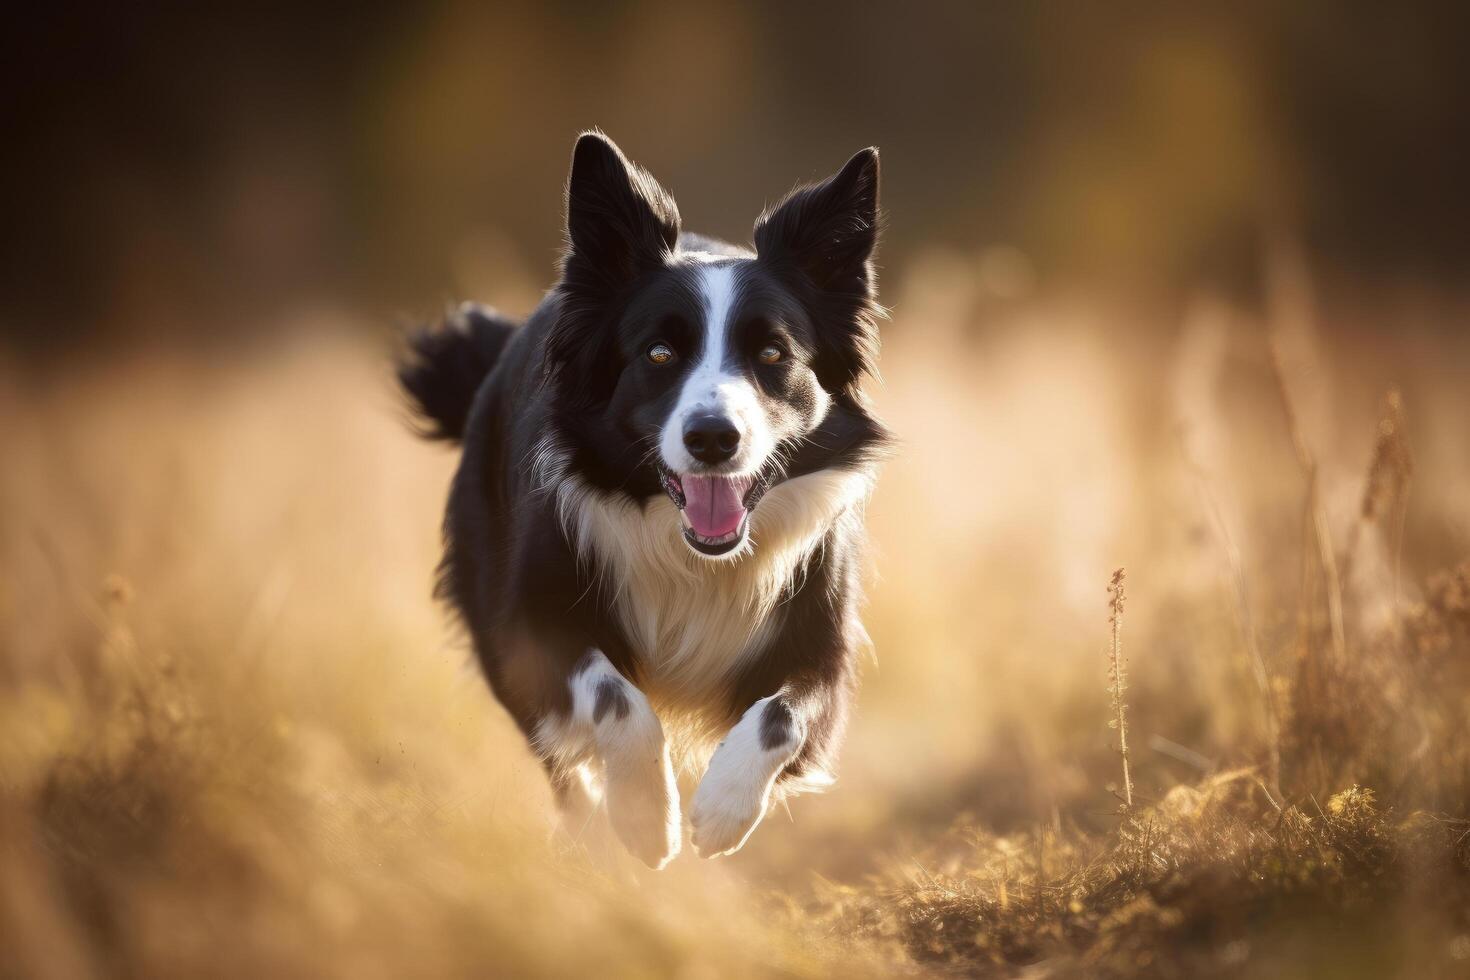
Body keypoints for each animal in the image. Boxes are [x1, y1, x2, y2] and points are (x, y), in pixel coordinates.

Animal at [396, 130, 887, 863]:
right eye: (658, 354)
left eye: (773, 354)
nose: (713, 437)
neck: (693, 556)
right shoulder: (532, 621)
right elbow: (614, 699)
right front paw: (645, 818)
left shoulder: (820, 638)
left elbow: (781, 715)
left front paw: (723, 809)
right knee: (559, 757)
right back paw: (588, 825)